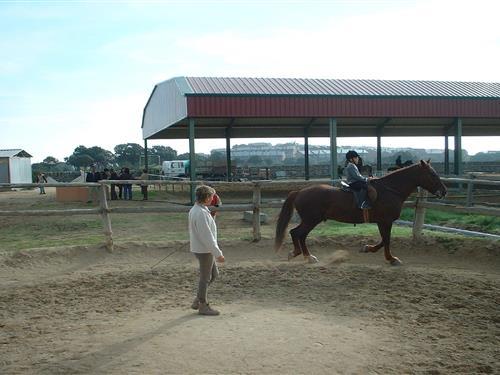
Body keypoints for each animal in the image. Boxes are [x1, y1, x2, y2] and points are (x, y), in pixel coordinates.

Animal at [276, 160, 448, 266]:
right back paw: (304, 255)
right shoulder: (385, 221)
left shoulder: (382, 222)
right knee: (297, 233)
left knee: (299, 234)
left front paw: (367, 248)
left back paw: (303, 255)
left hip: (311, 220)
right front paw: (392, 259)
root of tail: (299, 192)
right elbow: (387, 240)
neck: (390, 190)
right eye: (432, 174)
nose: (444, 191)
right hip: (311, 220)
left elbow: (384, 240)